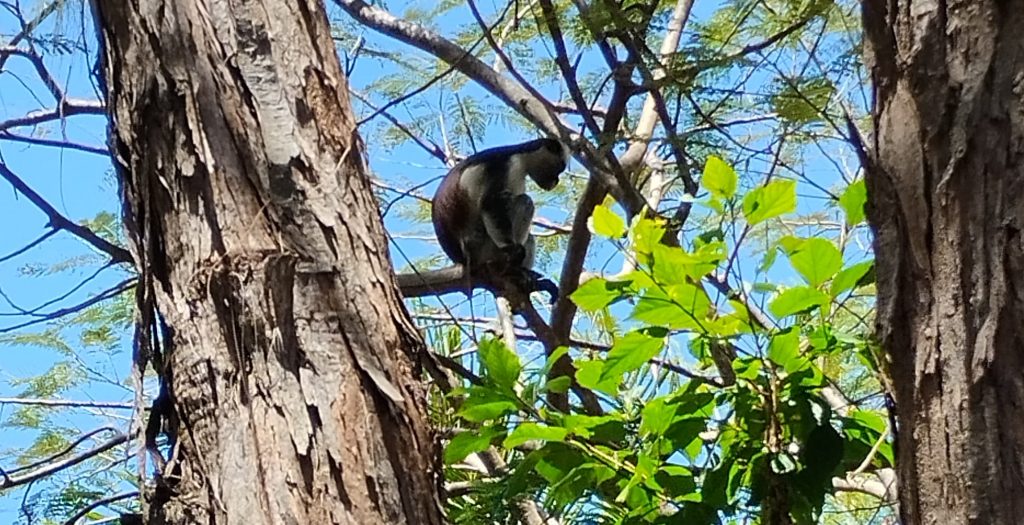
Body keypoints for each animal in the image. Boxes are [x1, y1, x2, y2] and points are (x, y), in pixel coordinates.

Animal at [430, 137, 569, 300]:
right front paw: (511, 250)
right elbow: (490, 204)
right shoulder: (504, 167)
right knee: (524, 201)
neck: (519, 155)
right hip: (482, 248)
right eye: (559, 168)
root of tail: (463, 260)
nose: (556, 181)